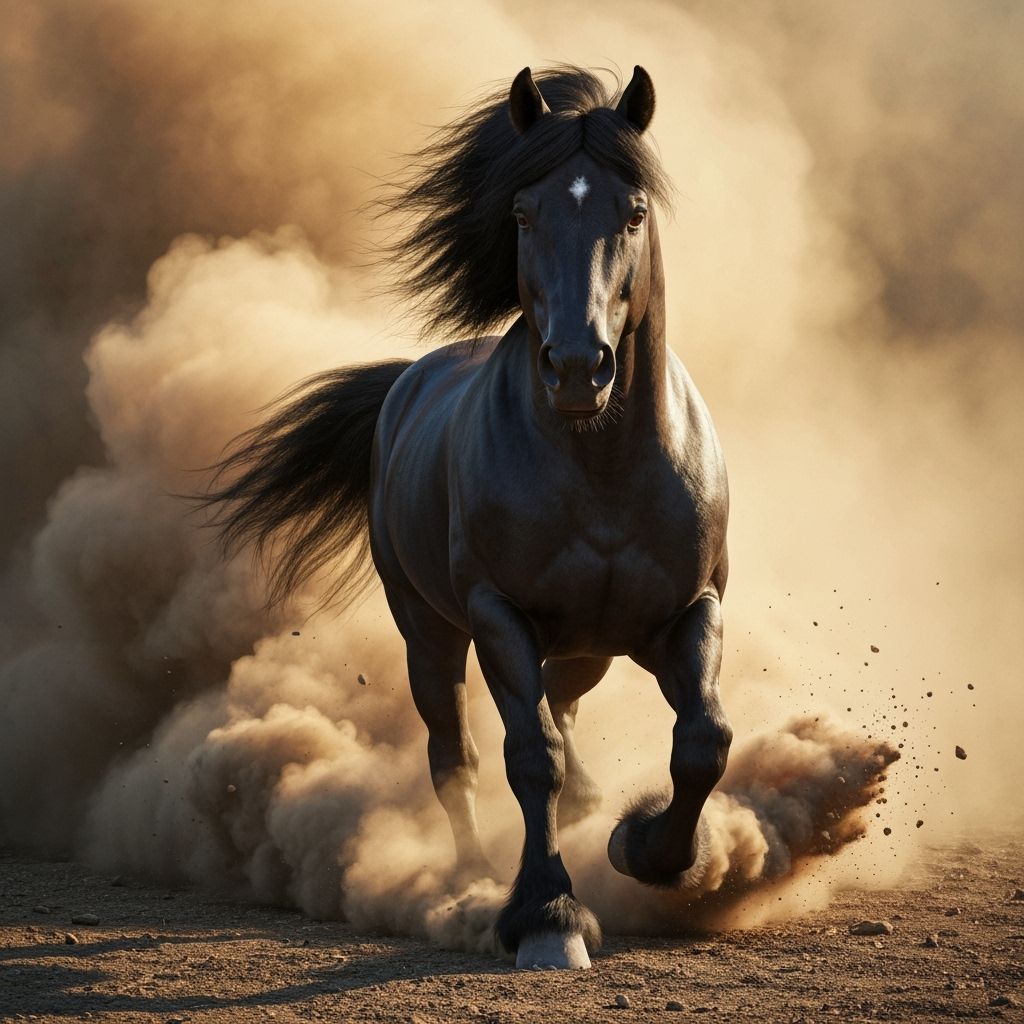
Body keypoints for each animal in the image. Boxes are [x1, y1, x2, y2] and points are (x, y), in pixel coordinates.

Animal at [207, 65, 732, 970]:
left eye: (633, 212)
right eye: (524, 213)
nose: (578, 368)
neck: (601, 469)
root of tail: (410, 379)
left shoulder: (686, 612)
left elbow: (703, 739)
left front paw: (648, 849)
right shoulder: (498, 616)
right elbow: (529, 757)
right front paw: (548, 914)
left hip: (589, 647)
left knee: (568, 707)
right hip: (430, 635)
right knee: (455, 756)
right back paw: (472, 878)